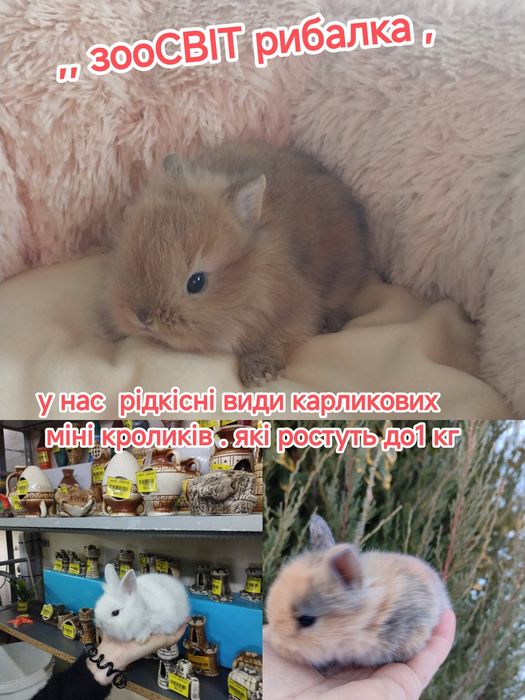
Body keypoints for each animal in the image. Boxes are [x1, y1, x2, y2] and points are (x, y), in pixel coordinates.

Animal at [104, 141, 368, 386]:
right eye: (128, 255)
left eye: (196, 282)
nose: (143, 317)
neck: (252, 278)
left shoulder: (295, 308)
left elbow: (281, 338)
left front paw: (258, 372)